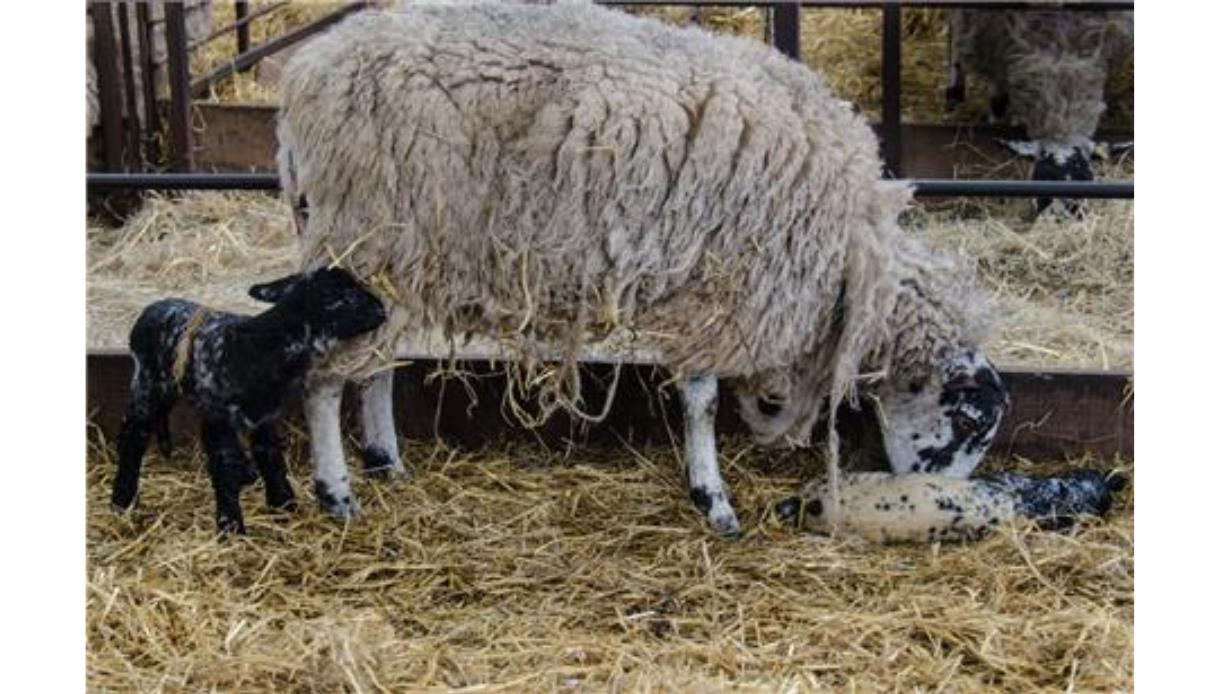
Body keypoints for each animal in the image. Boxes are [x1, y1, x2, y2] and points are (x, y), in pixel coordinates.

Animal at [110, 268, 386, 534]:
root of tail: (149, 310)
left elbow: (272, 460)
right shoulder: (217, 417)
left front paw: (285, 507)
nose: (382, 310)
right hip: (146, 383)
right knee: (133, 436)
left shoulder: (263, 418)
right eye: (347, 296)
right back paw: (122, 499)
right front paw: (231, 526)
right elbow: (225, 467)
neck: (262, 346)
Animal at [273, 0, 1009, 535]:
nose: (945, 500)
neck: (854, 257)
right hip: (362, 242)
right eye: (971, 423)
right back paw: (336, 493)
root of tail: (302, 79)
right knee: (324, 376)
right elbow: (703, 403)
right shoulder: (720, 292)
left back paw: (386, 462)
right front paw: (713, 499)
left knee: (375, 366)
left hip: (398, 258)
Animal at [945, 8, 1134, 213]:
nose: (1060, 217)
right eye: (1046, 176)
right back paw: (953, 93)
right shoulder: (995, 36)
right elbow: (997, 101)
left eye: (1084, 181)